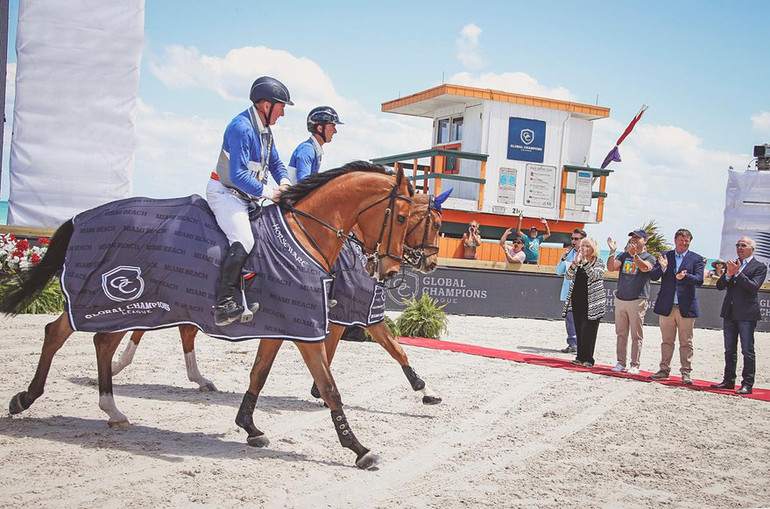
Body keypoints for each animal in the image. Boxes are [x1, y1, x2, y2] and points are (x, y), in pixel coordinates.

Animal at [1, 162, 414, 468]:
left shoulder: (282, 325)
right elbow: (329, 387)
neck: (305, 235)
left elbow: (260, 374)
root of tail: (80, 217)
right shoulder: (303, 326)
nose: (392, 270)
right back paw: (29, 399)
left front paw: (249, 427)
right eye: (403, 217)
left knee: (96, 340)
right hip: (106, 299)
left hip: (123, 308)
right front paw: (359, 448)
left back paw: (109, 409)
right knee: (60, 332)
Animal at [110, 189, 448, 402]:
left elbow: (339, 350)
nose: (431, 264)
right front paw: (426, 390)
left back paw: (197, 378)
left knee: (183, 330)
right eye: (435, 224)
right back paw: (119, 364)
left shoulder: (341, 315)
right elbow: (396, 349)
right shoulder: (359, 313)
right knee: (149, 325)